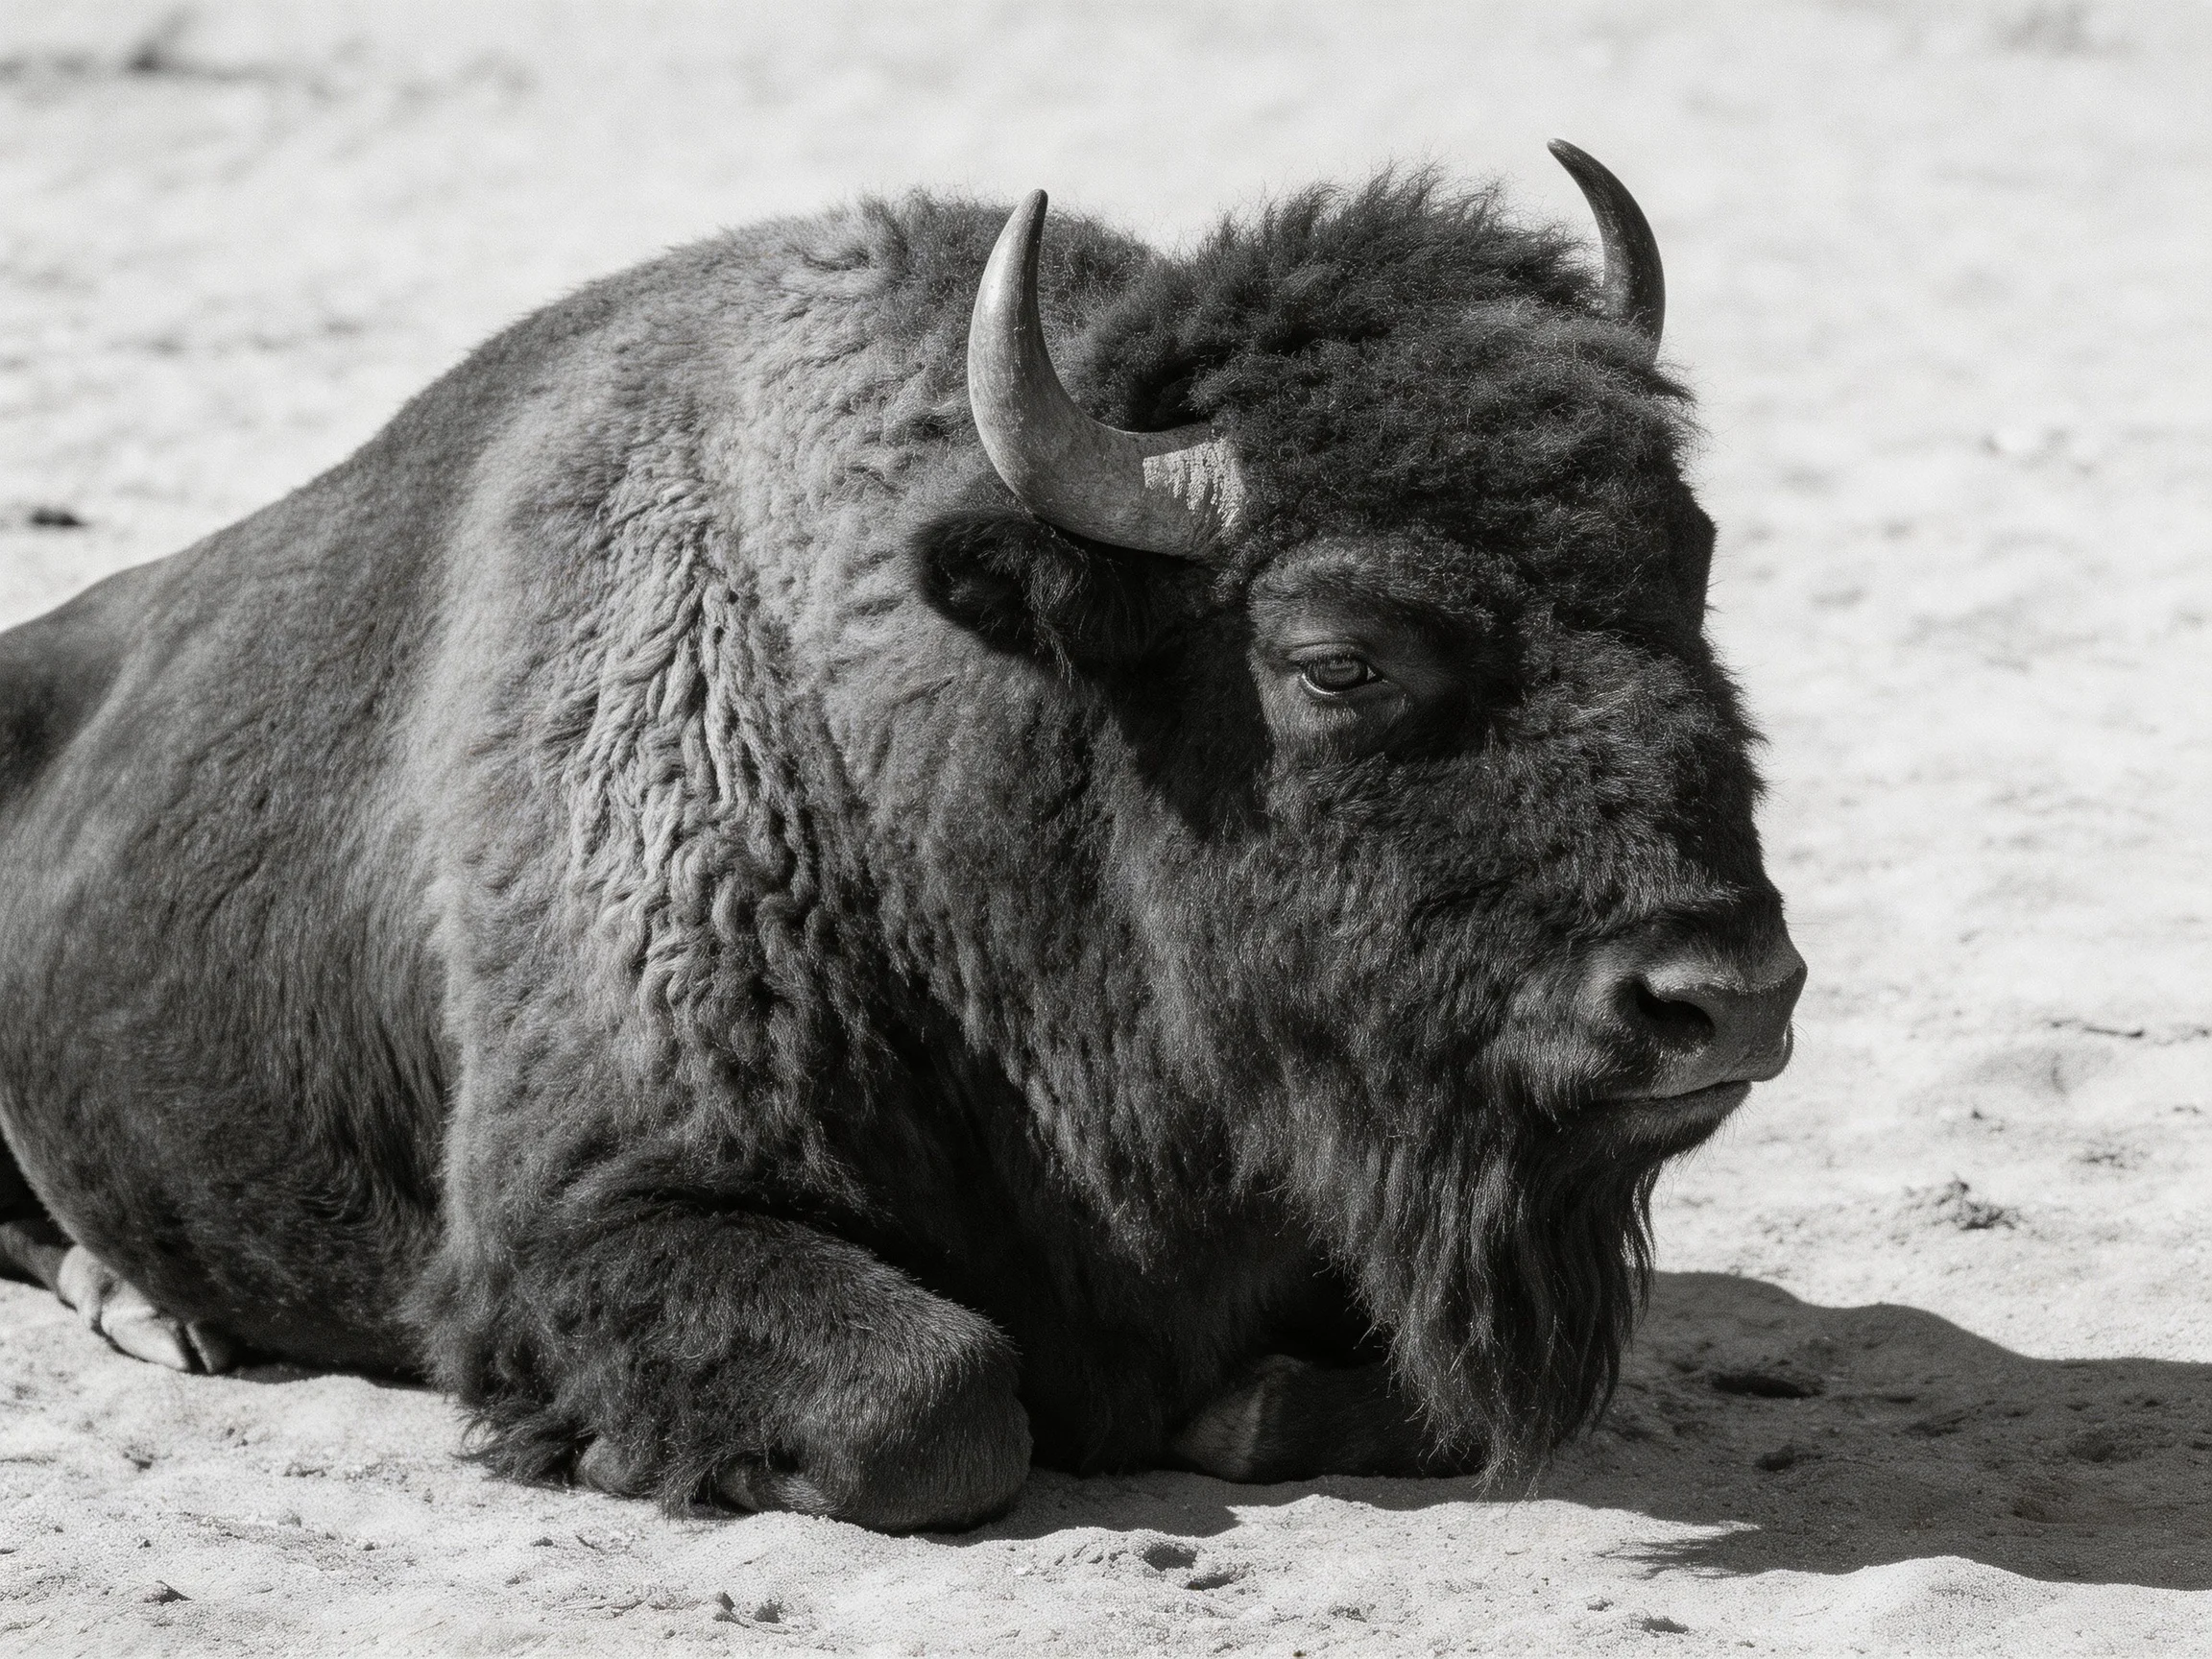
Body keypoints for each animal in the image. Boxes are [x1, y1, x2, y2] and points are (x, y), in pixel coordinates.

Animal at [0, 145, 1804, 1531]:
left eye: (1694, 571)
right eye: (1336, 657)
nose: (1723, 998)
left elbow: (1368, 1397)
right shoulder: (580, 1220)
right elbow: (934, 1399)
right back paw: (146, 1309)